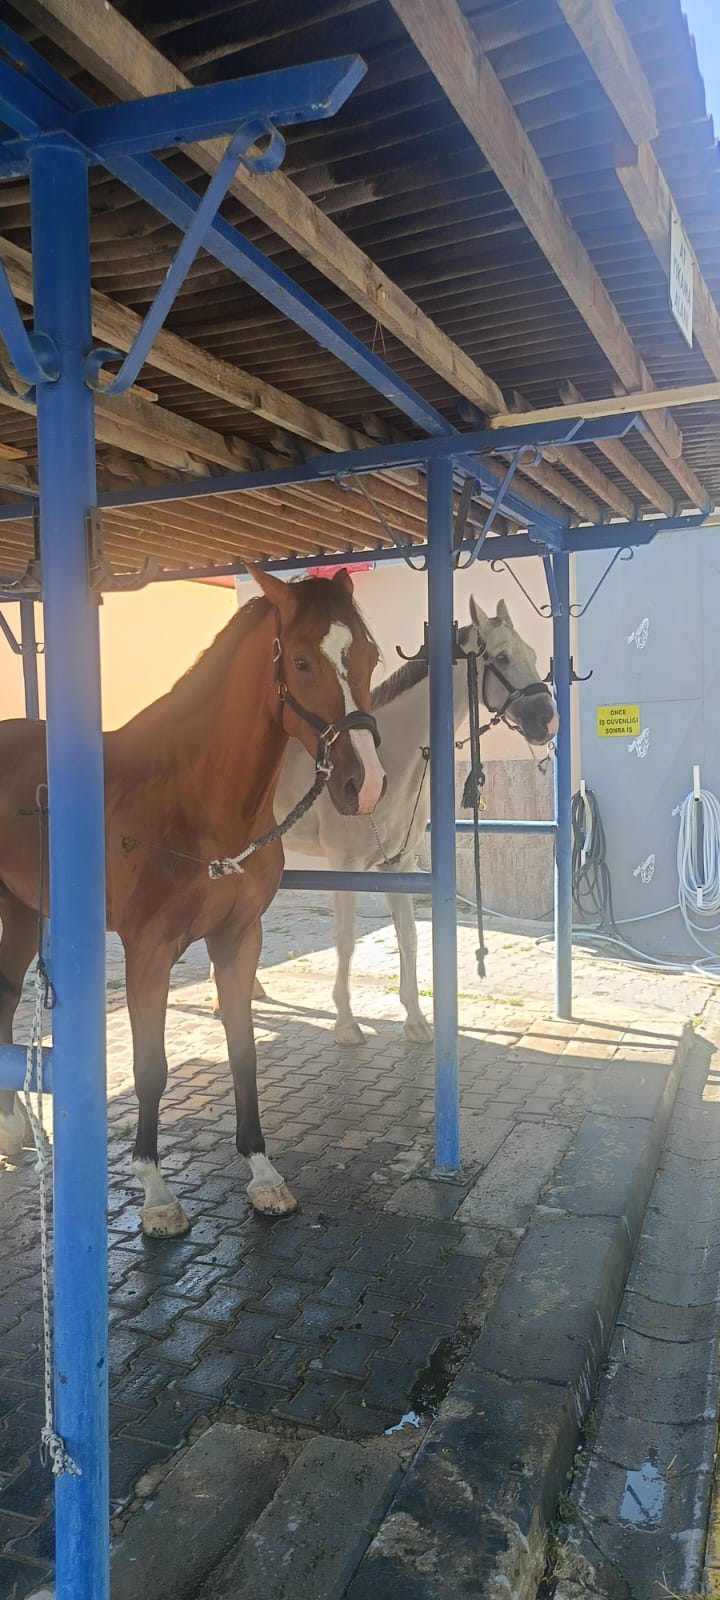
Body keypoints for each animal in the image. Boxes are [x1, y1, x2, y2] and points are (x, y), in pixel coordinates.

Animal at [0, 568, 384, 1234]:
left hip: (23, 913)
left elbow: (243, 1049)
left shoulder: (239, 937)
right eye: (302, 660)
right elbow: (150, 1066)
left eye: (370, 654)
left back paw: (12, 1126)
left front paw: (262, 1173)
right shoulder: (148, 951)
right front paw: (155, 1191)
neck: (195, 803)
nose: (365, 785)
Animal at [231, 596, 558, 1043]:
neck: (384, 762)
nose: (548, 720)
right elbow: (346, 941)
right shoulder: (346, 867)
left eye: (535, 655)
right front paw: (346, 1023)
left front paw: (416, 1020)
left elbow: (409, 937)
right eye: (503, 657)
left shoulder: (397, 864)